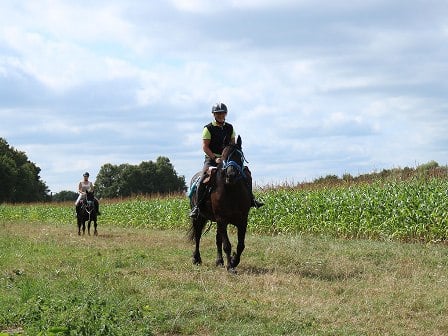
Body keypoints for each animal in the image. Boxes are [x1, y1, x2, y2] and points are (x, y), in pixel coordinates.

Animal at [189, 135, 252, 272]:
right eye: (223, 156)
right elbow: (227, 245)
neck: (232, 191)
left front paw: (233, 261)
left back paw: (219, 261)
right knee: (197, 236)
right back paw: (196, 259)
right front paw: (231, 267)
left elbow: (240, 245)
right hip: (199, 218)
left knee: (217, 239)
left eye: (239, 156)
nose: (231, 175)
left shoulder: (242, 220)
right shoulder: (222, 219)